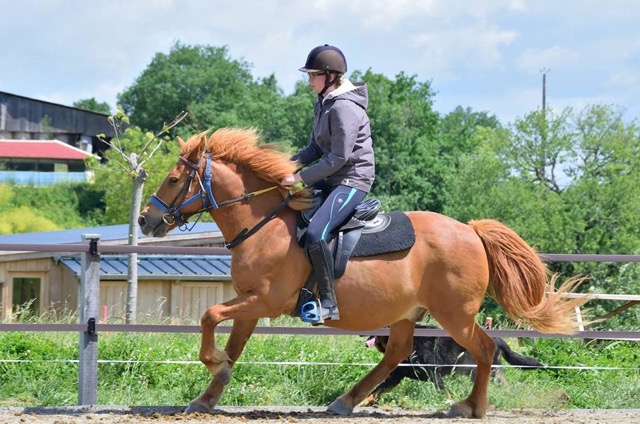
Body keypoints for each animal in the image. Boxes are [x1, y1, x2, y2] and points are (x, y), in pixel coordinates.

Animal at [362, 324, 544, 404]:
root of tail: (498, 339)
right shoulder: (396, 376)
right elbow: (375, 391)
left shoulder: (434, 373)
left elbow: (444, 392)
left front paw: (449, 402)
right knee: (505, 386)